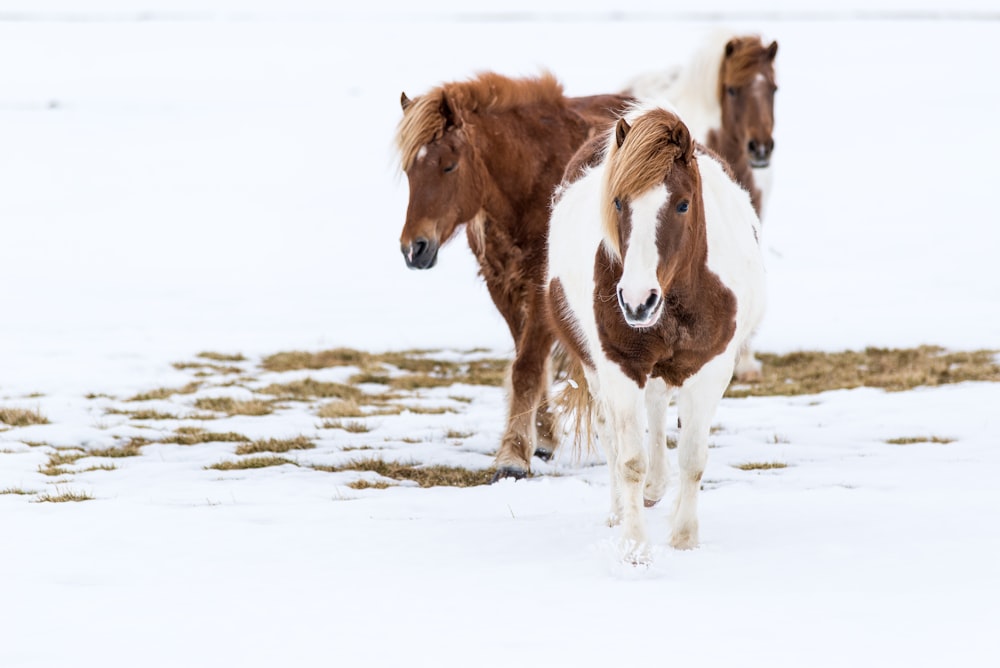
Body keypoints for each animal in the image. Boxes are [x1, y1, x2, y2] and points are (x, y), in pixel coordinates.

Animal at [392, 72, 632, 480]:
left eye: (449, 166)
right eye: (410, 170)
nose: (414, 248)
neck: (531, 182)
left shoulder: (541, 289)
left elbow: (527, 366)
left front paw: (512, 458)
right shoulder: (501, 286)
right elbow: (531, 361)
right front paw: (542, 439)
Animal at [540, 103, 764, 564]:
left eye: (682, 204)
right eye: (618, 201)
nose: (637, 301)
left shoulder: (711, 370)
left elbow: (693, 458)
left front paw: (684, 539)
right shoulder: (619, 368)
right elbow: (628, 460)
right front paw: (634, 547)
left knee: (660, 410)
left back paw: (660, 491)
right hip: (596, 370)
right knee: (610, 434)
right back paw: (621, 508)